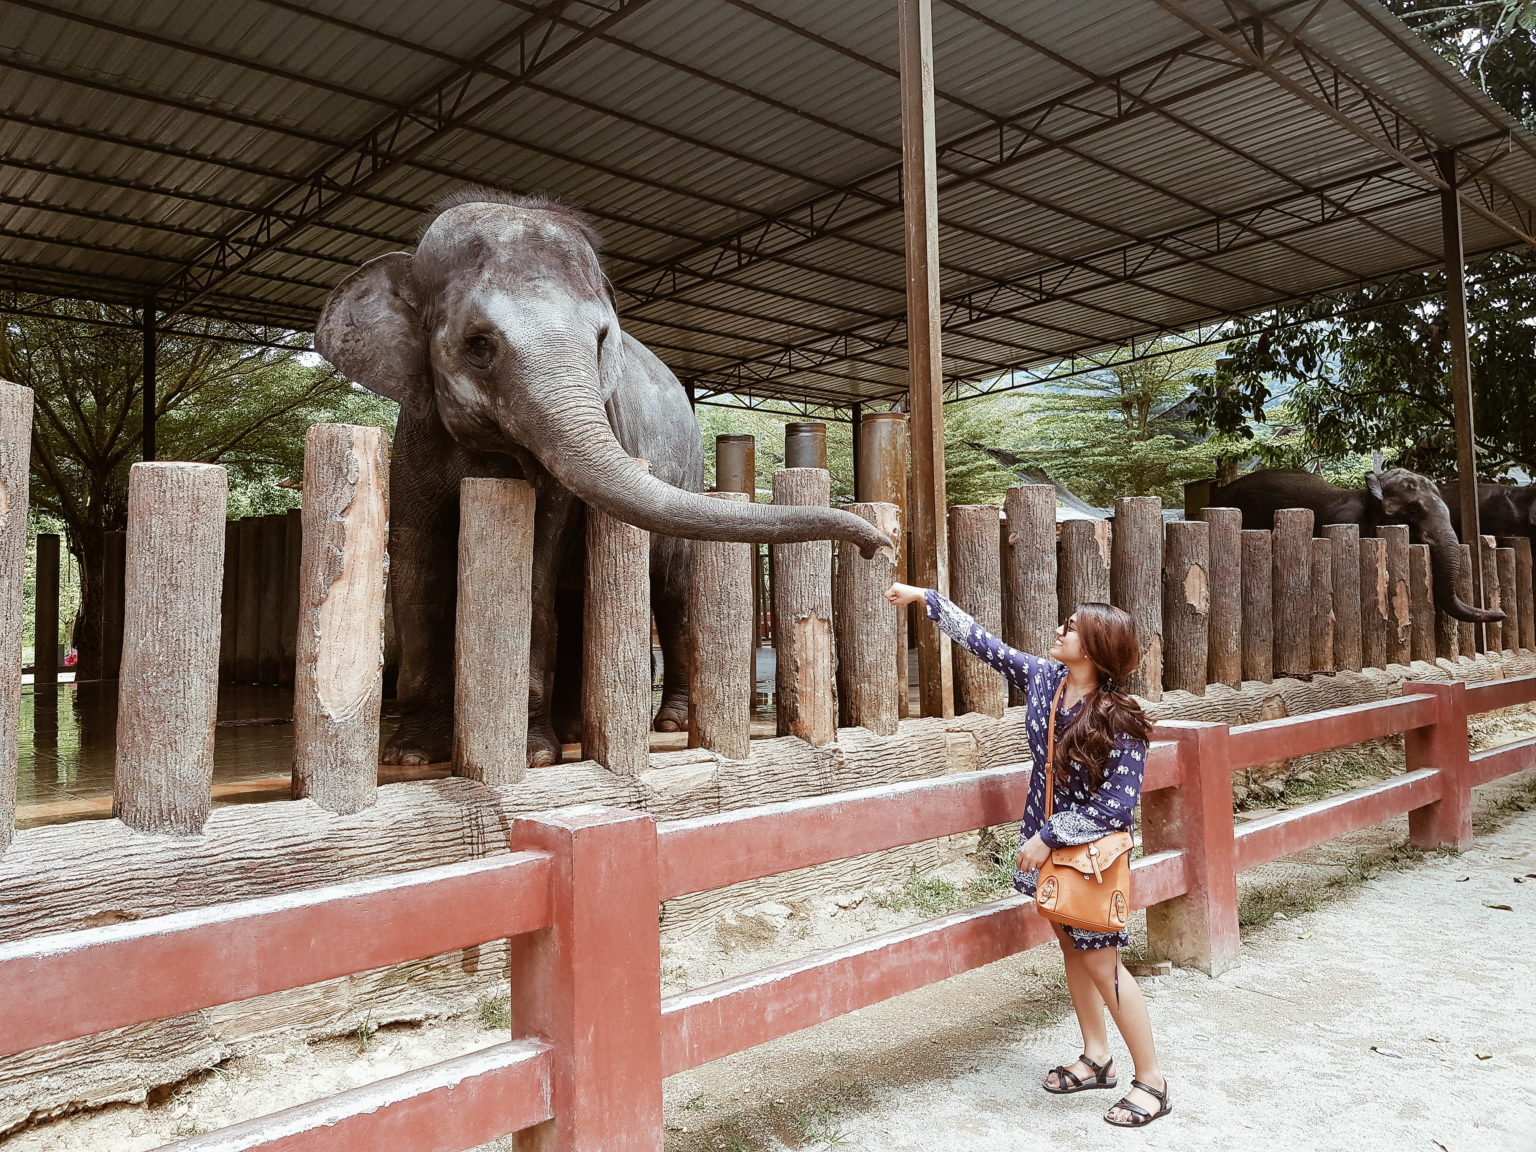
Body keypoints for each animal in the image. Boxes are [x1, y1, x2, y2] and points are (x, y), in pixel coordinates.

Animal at [314, 189, 890, 771]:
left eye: (599, 341)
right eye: (478, 345)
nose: (878, 548)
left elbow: (537, 565)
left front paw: (534, 756)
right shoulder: (414, 440)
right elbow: (419, 567)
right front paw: (411, 755)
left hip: (687, 472)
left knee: (670, 593)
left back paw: (665, 723)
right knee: (576, 595)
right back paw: (572, 731)